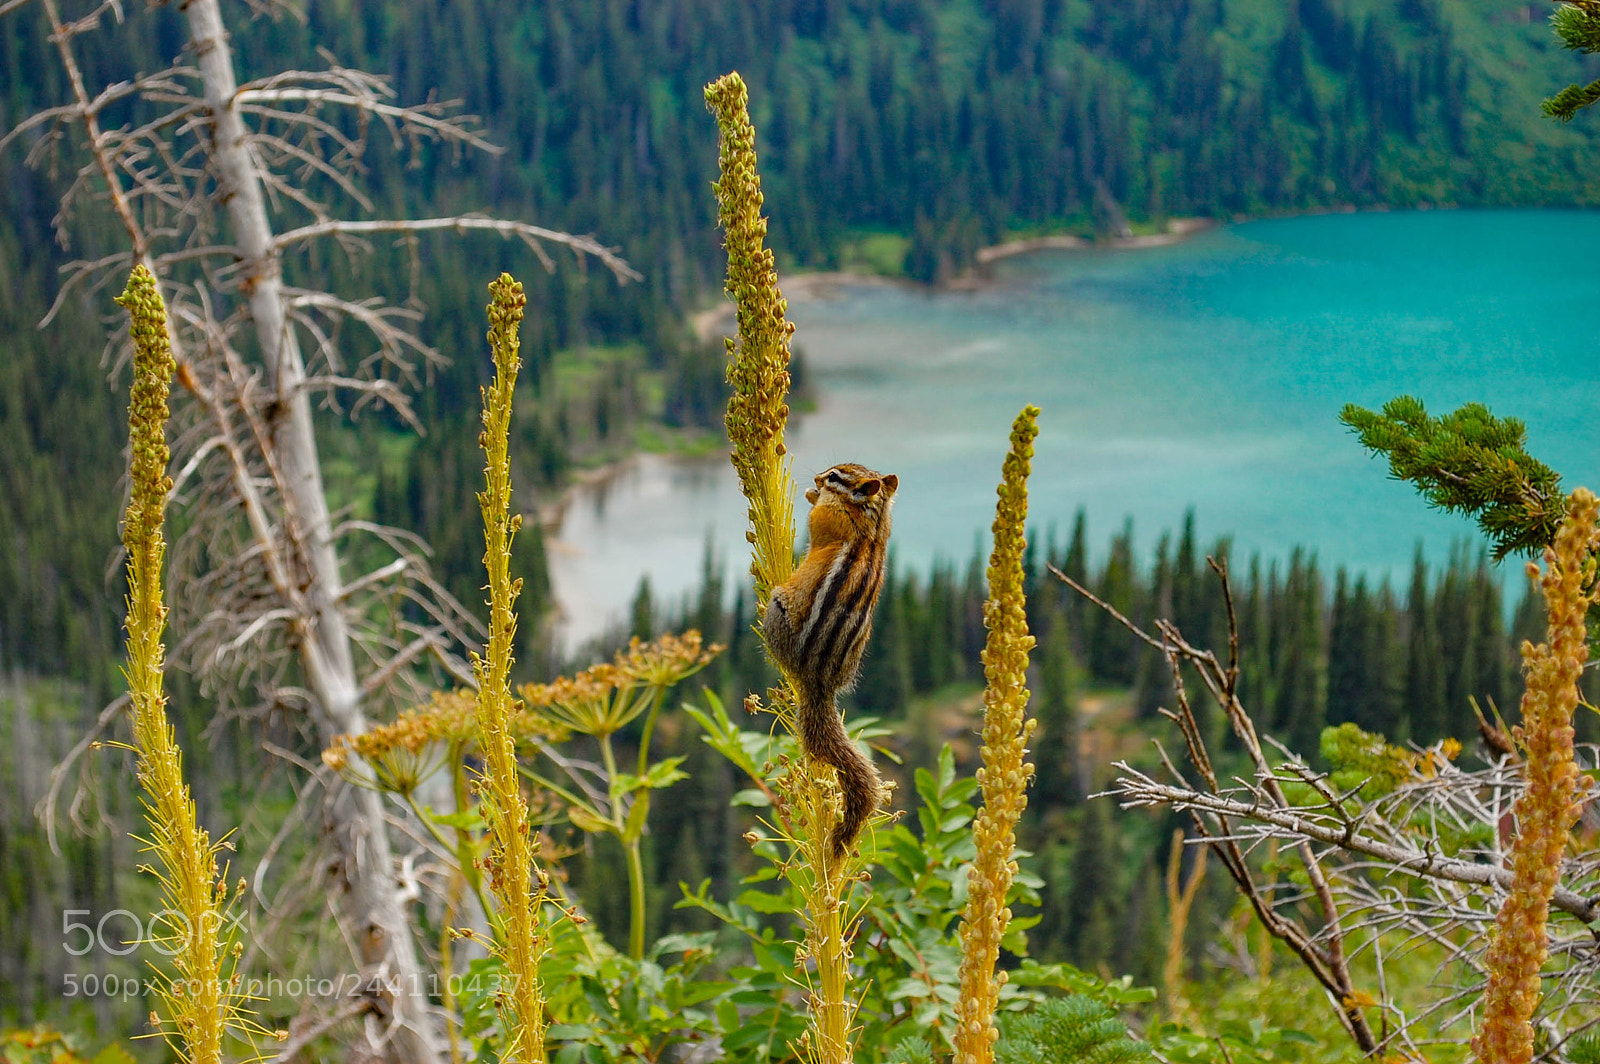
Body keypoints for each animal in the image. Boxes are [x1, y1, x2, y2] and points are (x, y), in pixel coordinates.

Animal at [762, 462, 898, 857]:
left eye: (836, 477)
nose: (818, 478)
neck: (871, 516)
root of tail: (818, 680)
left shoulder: (828, 519)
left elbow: (815, 520)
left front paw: (813, 496)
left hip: (776, 610)